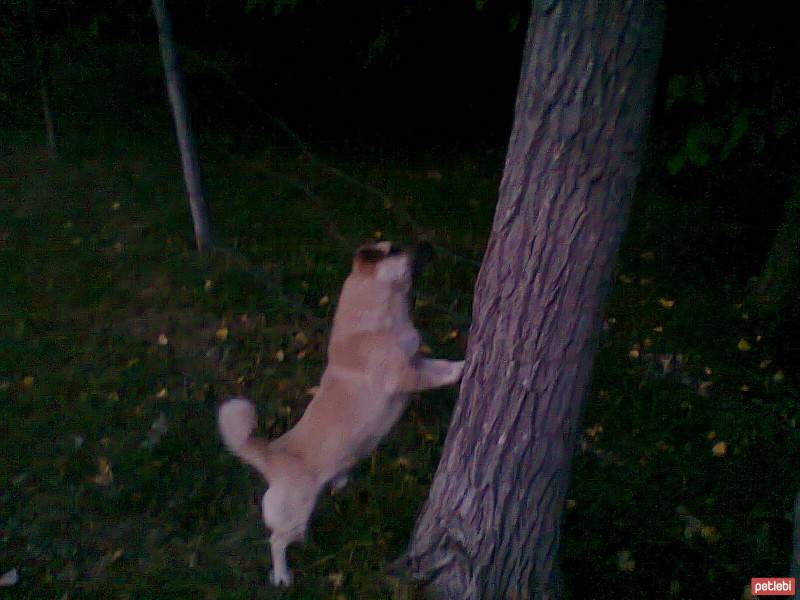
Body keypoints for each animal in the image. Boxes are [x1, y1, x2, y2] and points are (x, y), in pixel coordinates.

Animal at [216, 240, 466, 584]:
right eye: (395, 249)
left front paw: (460, 363)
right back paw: (282, 575)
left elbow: (439, 365)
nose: (428, 243)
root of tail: (271, 455)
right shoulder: (403, 376)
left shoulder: (417, 362)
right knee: (276, 540)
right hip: (295, 512)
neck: (382, 310)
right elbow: (437, 377)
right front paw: (463, 370)